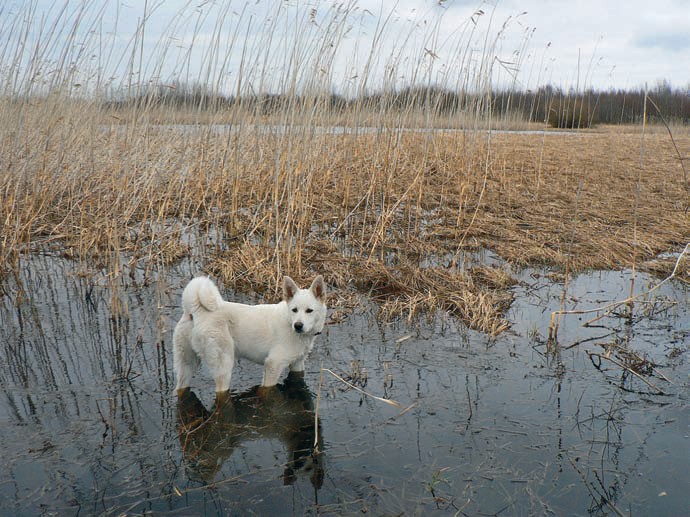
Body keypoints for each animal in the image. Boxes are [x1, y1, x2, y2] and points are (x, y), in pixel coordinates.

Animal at [173, 275, 326, 395]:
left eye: (309, 310)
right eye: (294, 310)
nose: (298, 326)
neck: (289, 322)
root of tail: (196, 311)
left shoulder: (297, 363)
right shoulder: (273, 364)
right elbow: (267, 389)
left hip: (186, 364)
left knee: (180, 387)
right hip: (224, 366)